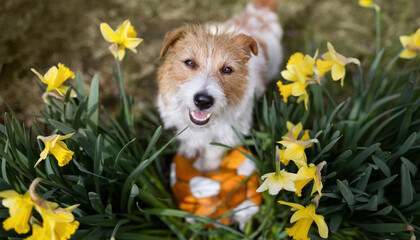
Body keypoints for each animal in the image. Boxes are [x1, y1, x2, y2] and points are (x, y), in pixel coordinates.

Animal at [157, 0, 282, 172]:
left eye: (227, 69)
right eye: (190, 62)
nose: (203, 101)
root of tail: (259, 12)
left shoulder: (229, 133)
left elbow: (212, 152)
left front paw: (207, 170)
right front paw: (188, 150)